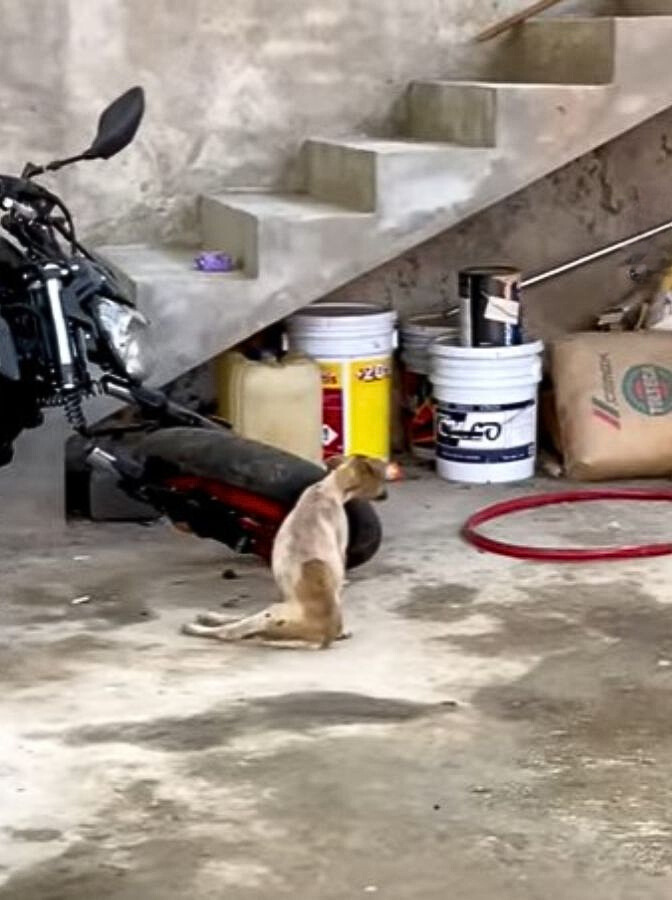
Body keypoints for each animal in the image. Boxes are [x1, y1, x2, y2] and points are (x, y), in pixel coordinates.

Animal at [181, 458, 386, 648]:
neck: (327, 489)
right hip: (272, 614)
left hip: (272, 614)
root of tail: (325, 634)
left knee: (236, 626)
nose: (385, 494)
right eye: (378, 475)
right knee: (233, 629)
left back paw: (204, 622)